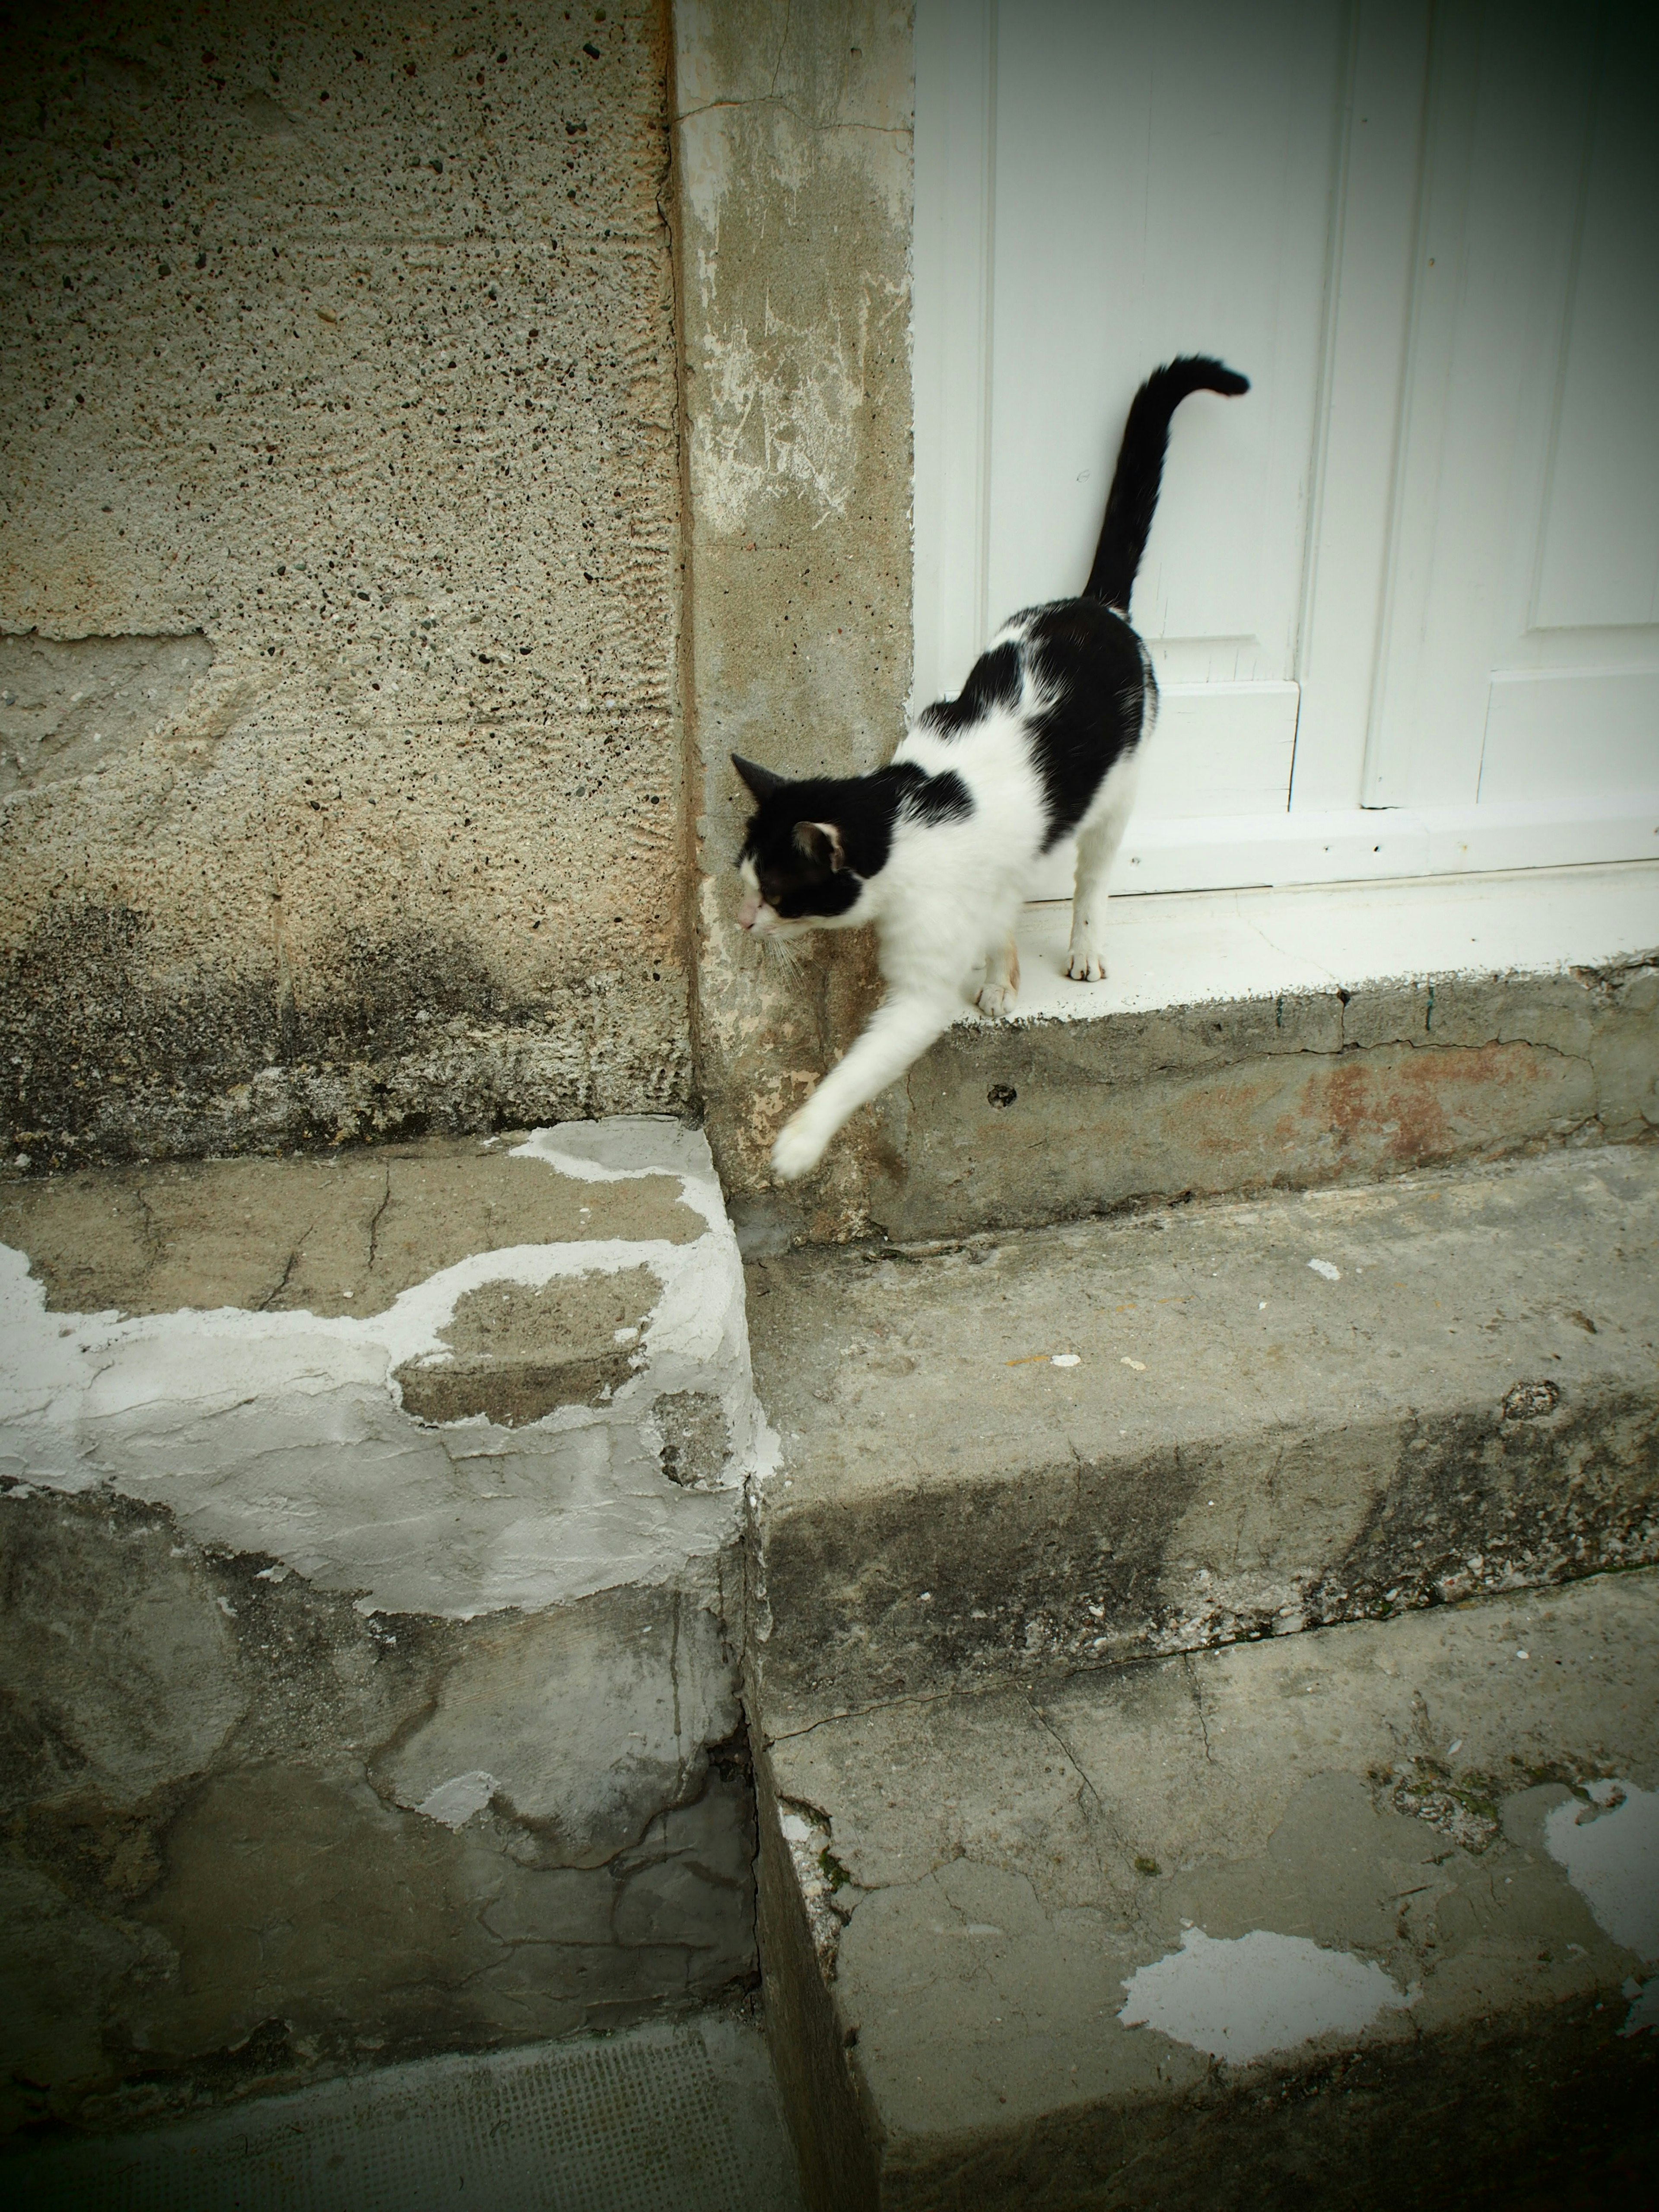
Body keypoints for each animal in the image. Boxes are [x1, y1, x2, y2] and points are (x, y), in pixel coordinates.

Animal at [739, 360, 1247, 1185]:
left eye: (778, 894)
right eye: (746, 883)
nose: (744, 921)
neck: (906, 806)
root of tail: (1100, 608)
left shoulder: (920, 990)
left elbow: (860, 1066)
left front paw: (800, 1141)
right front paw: (998, 977)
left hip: (1119, 792)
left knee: (1093, 877)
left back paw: (1082, 948)